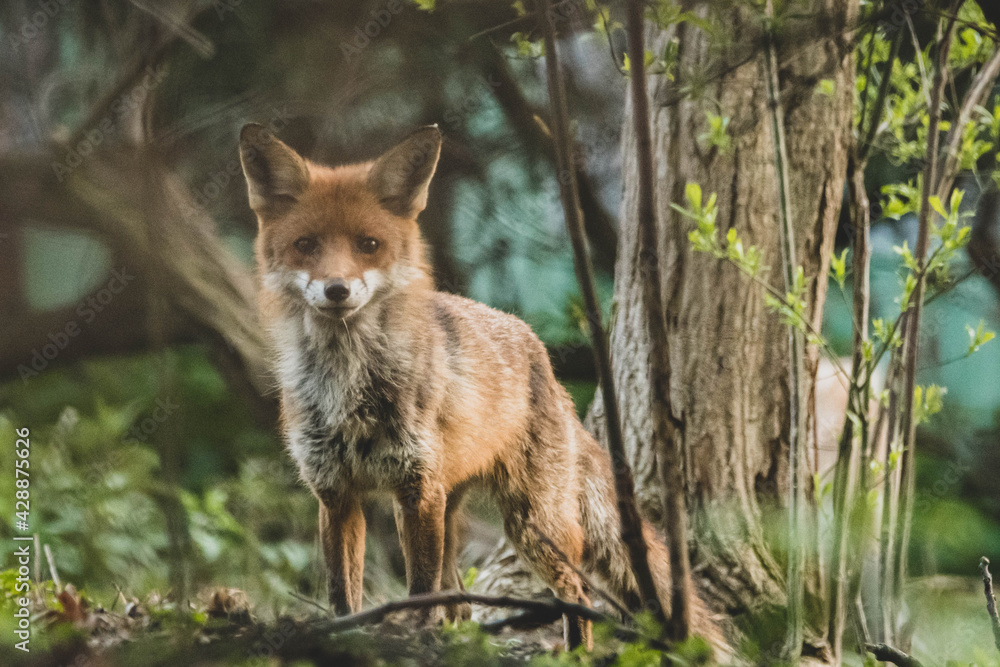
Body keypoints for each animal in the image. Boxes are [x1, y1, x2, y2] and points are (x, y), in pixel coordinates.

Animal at [236, 122, 720, 648]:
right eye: (307, 245)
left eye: (368, 245)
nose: (337, 290)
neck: (348, 384)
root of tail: (539, 352)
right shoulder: (336, 493)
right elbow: (343, 592)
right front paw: (347, 636)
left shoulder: (417, 488)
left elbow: (420, 589)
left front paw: (413, 636)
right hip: (449, 508)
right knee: (461, 600)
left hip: (529, 521)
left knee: (577, 589)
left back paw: (575, 652)